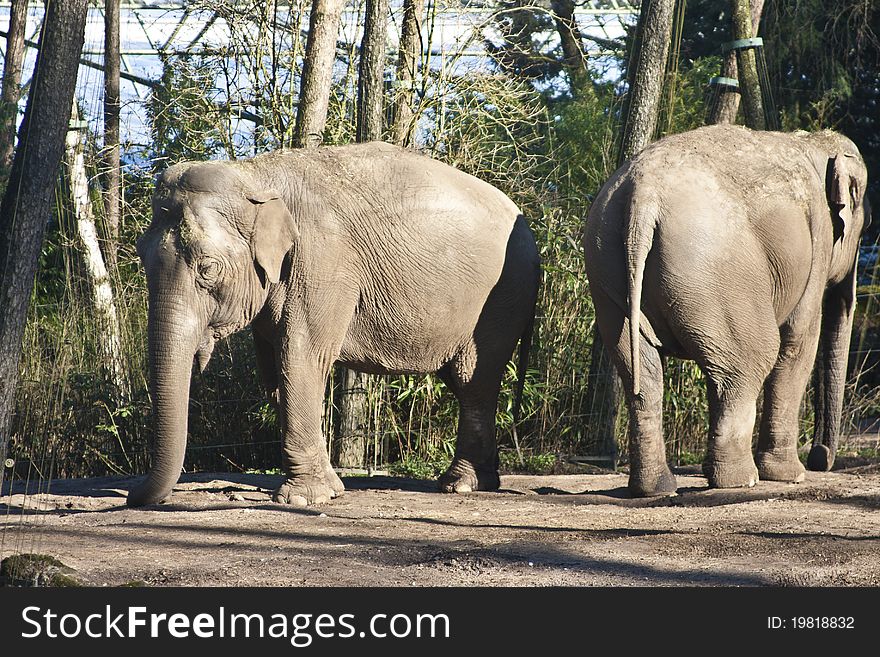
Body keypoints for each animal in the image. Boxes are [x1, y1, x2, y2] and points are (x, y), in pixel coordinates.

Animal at [129, 141, 544, 504]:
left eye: (208, 268)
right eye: (142, 257)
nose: (133, 496)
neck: (254, 175)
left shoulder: (323, 262)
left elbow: (301, 357)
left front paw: (301, 498)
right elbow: (273, 371)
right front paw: (325, 488)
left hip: (503, 297)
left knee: (475, 380)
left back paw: (461, 485)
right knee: (465, 382)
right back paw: (479, 481)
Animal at [584, 123, 868, 494]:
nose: (820, 457)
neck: (814, 142)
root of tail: (642, 194)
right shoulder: (817, 237)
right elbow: (798, 340)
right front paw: (791, 475)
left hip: (608, 267)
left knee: (644, 375)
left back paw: (657, 488)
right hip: (714, 269)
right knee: (751, 359)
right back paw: (740, 480)